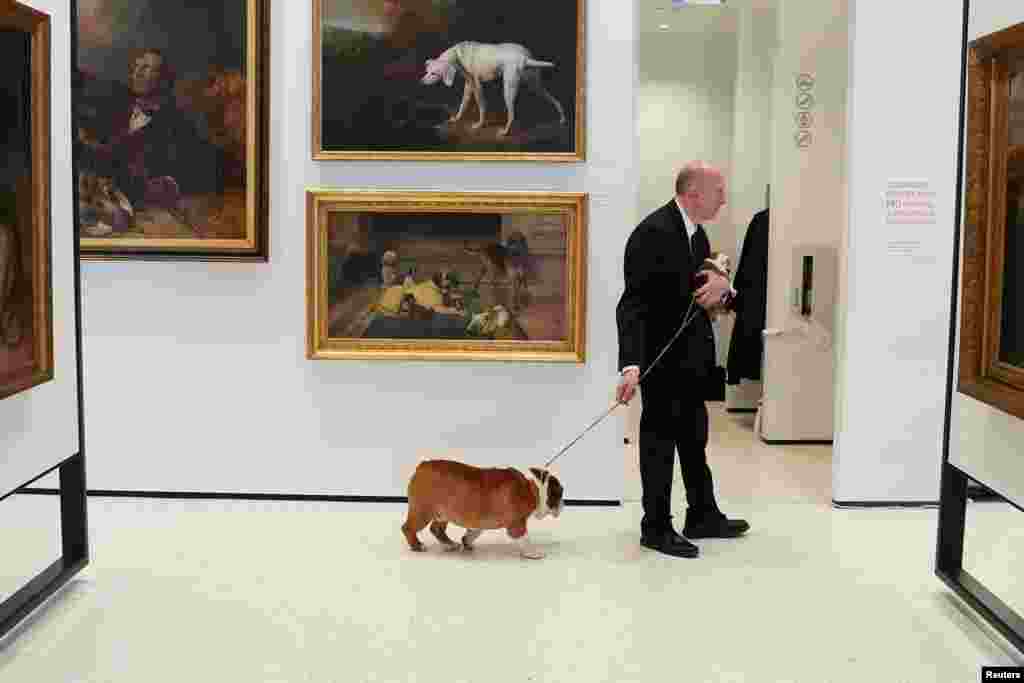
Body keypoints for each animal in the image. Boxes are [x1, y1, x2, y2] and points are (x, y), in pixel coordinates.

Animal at [421, 40, 569, 136]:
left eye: (434, 73)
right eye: (427, 71)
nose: (421, 82)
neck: (458, 54)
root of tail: (524, 58)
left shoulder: (477, 86)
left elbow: (482, 106)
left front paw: (479, 125)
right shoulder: (469, 85)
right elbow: (463, 104)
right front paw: (456, 118)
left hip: (509, 89)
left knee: (512, 114)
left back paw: (505, 131)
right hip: (535, 85)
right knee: (553, 99)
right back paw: (562, 117)